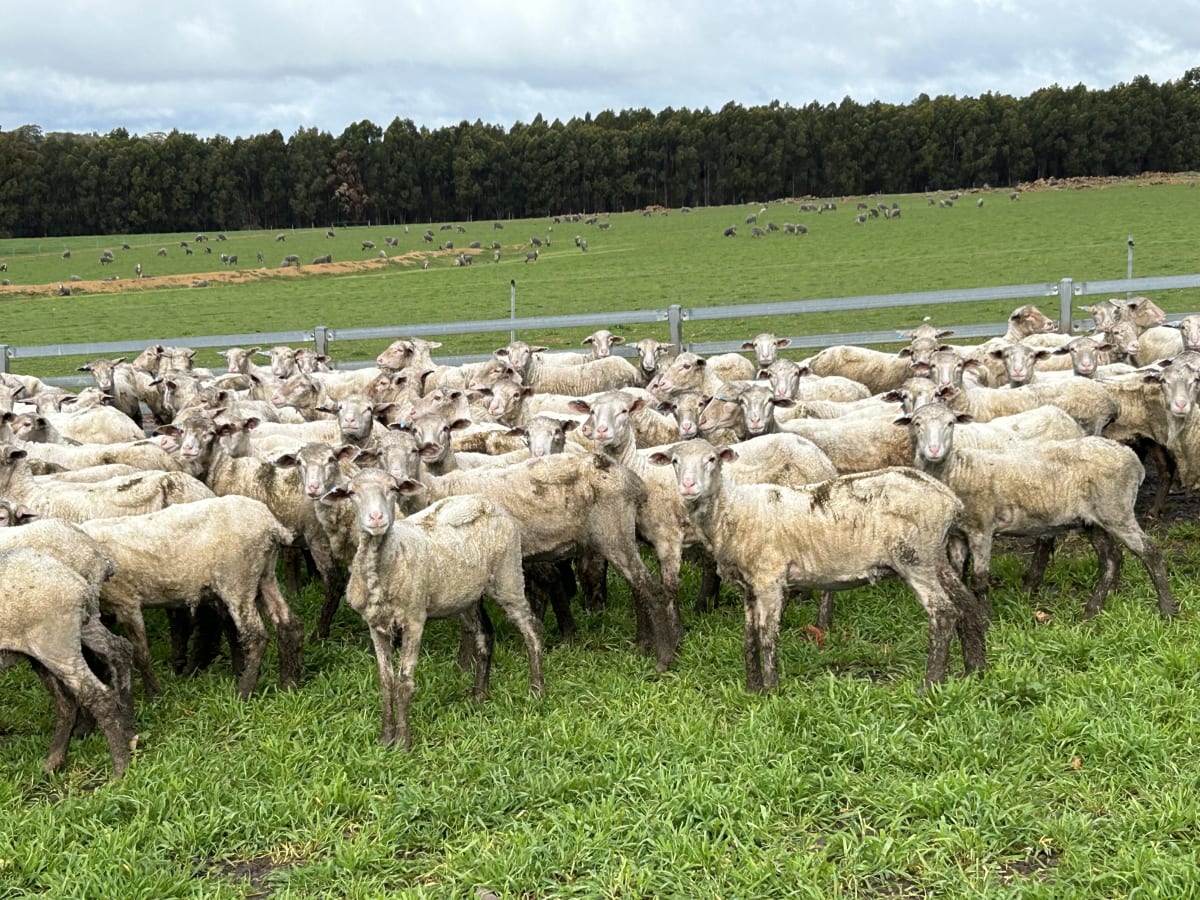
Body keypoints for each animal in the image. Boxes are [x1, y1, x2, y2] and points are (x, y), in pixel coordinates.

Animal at [0, 547, 135, 778]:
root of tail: (78, 584)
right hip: (70, 636)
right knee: (117, 653)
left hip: (56, 642)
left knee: (95, 695)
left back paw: (119, 769)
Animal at [323, 468, 544, 748]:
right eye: (352, 492)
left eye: (393, 489)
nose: (376, 518)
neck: (389, 559)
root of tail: (485, 501)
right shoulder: (376, 625)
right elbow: (385, 681)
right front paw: (385, 738)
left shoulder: (414, 620)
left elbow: (404, 683)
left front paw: (403, 742)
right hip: (468, 594)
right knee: (485, 635)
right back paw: (479, 696)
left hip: (509, 576)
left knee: (532, 629)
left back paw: (537, 690)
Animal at [647, 440, 985, 691]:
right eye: (675, 461)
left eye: (712, 459)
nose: (688, 486)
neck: (733, 509)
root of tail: (950, 499)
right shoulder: (749, 587)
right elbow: (748, 638)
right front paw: (752, 688)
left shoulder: (770, 579)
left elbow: (767, 635)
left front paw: (771, 690)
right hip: (934, 556)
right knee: (966, 605)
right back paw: (974, 671)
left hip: (915, 558)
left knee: (944, 613)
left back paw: (930, 684)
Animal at [896, 401, 1176, 619]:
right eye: (917, 423)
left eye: (951, 423)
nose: (933, 450)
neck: (957, 469)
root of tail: (1130, 456)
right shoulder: (958, 535)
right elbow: (958, 576)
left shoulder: (982, 529)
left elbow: (980, 579)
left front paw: (985, 619)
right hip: (1093, 520)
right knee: (1111, 560)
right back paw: (1091, 611)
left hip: (1117, 510)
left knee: (1150, 552)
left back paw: (1167, 610)